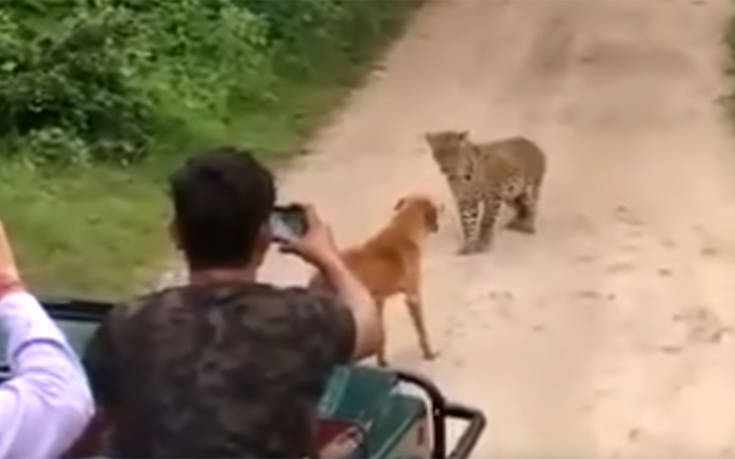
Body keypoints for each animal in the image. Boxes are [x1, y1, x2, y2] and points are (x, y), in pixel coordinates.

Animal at [310, 194, 440, 366]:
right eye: (435, 211)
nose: (437, 227)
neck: (404, 229)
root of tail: (315, 281)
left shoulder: (378, 301)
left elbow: (381, 335)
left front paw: (382, 361)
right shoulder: (412, 296)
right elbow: (422, 330)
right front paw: (429, 353)